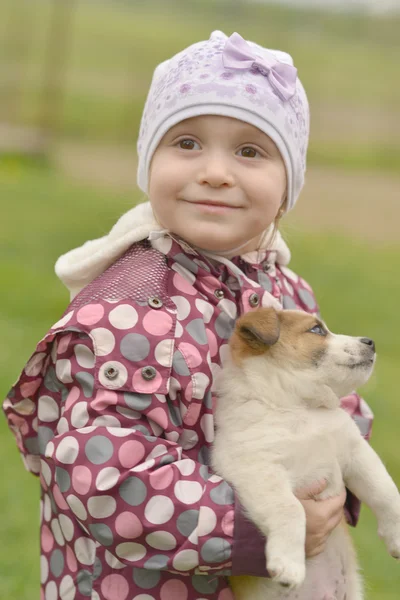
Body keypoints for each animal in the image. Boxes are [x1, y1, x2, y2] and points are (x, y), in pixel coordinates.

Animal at [212, 310, 400, 600]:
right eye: (316, 330)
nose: (370, 342)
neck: (298, 409)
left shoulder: (355, 451)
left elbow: (386, 491)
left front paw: (397, 537)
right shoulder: (258, 470)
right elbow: (290, 509)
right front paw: (289, 565)